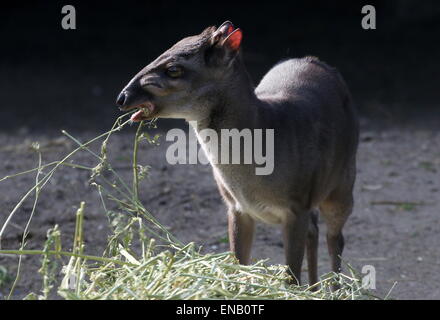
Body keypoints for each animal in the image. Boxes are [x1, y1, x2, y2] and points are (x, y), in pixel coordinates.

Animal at [116, 21, 358, 286]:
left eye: (173, 69)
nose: (122, 97)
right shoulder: (236, 206)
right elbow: (239, 262)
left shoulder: (297, 205)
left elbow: (292, 276)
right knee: (315, 231)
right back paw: (314, 289)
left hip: (343, 182)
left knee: (335, 238)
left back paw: (333, 288)